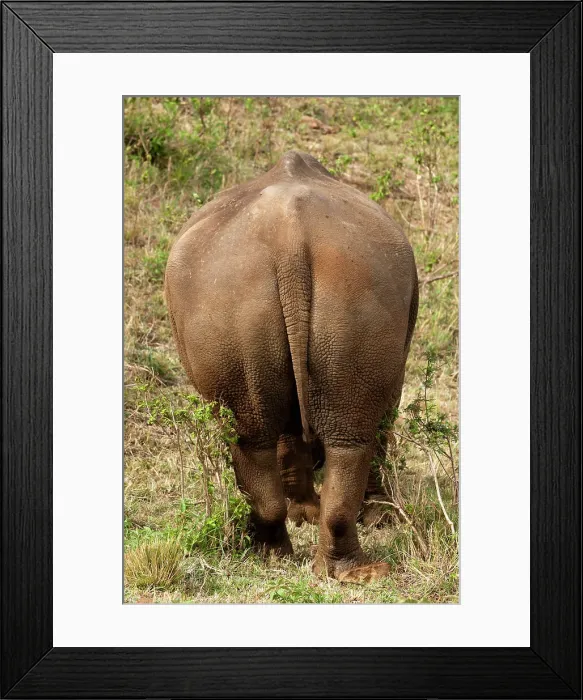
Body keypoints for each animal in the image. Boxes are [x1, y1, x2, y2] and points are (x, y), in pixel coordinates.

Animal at [165, 151, 418, 583]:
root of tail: (290, 241)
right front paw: (369, 517)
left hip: (235, 296)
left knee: (256, 436)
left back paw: (280, 558)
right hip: (345, 287)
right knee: (342, 438)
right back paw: (356, 569)